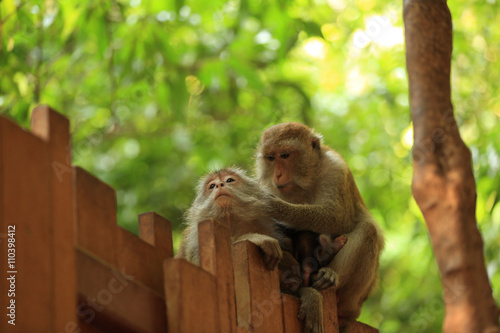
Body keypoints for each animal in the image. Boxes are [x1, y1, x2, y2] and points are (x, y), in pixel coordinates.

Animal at [256, 120, 384, 328]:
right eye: (270, 158)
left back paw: (331, 276)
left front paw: (280, 208)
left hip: (357, 296)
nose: (278, 174)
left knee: (368, 230)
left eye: (285, 155)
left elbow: (339, 216)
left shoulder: (336, 169)